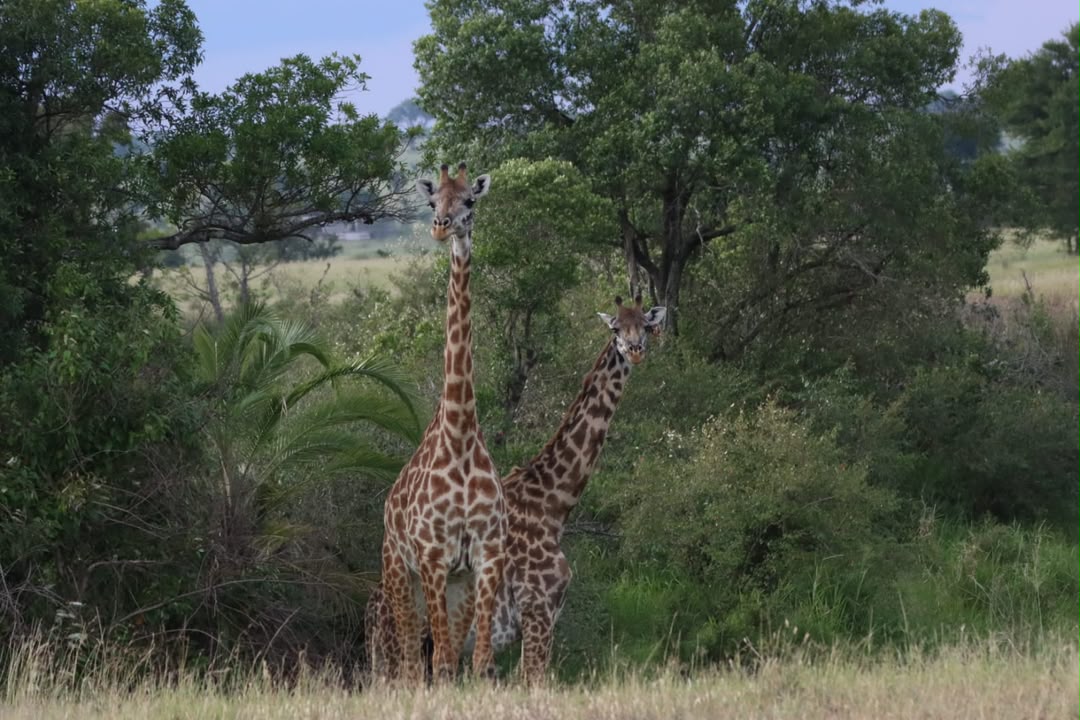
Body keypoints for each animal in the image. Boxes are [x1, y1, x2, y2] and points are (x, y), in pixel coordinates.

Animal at [366, 295, 666, 685]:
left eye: (644, 324)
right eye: (616, 328)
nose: (635, 350)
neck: (554, 501)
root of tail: (371, 611)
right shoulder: (538, 611)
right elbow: (533, 680)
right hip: (400, 645)